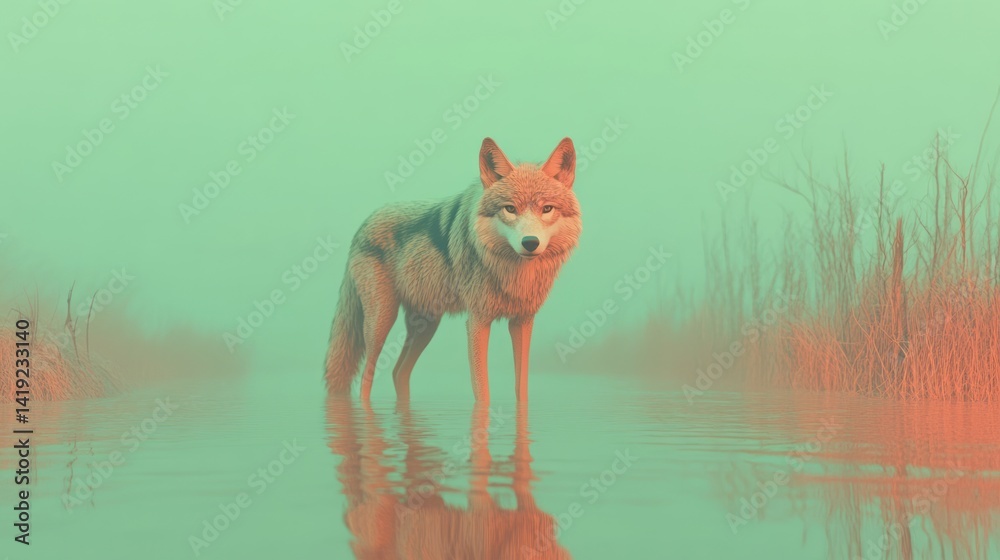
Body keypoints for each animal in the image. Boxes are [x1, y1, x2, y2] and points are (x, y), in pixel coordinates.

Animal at [324, 137, 582, 402]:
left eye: (547, 209)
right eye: (510, 209)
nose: (530, 243)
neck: (512, 271)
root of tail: (365, 222)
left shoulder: (523, 322)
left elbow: (521, 389)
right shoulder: (478, 321)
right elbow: (482, 390)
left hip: (425, 327)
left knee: (398, 371)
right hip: (381, 323)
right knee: (366, 379)